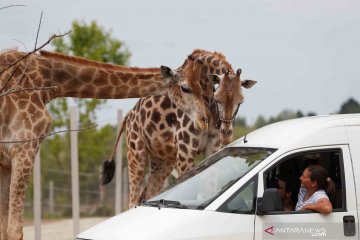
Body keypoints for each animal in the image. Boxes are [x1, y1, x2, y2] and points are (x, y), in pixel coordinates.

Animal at [0, 49, 208, 239]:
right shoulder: (24, 148)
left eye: (200, 87)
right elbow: (14, 231)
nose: (204, 120)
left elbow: (4, 228)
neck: (47, 81)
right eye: (185, 88)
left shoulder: (5, 161)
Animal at [101, 48, 258, 206]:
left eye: (241, 101)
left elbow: (208, 189)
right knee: (133, 199)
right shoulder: (185, 149)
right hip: (136, 152)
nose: (226, 134)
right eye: (218, 98)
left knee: (148, 193)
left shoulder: (212, 148)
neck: (206, 97)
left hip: (162, 160)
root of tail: (129, 114)